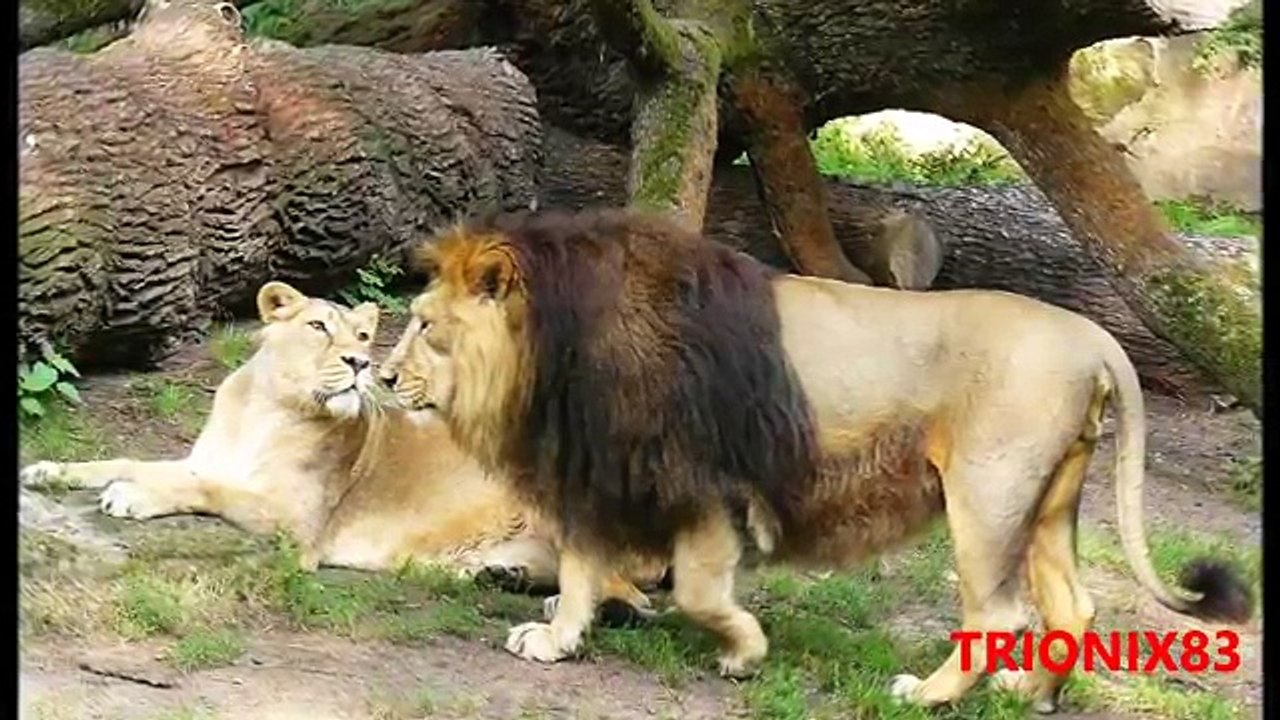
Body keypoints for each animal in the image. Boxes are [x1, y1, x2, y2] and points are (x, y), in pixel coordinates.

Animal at [20, 280, 660, 618]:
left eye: (362, 335)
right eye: (318, 328)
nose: (360, 363)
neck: (265, 408)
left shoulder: (297, 525)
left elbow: (204, 487)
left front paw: (130, 498)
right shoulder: (203, 457)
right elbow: (127, 459)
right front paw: (49, 470)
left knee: (632, 591)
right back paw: (496, 575)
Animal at [378, 207, 1253, 713]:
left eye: (423, 325)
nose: (381, 377)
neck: (551, 349)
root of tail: (1091, 334)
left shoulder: (699, 484)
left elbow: (696, 591)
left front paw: (743, 652)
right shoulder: (605, 476)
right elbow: (582, 571)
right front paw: (558, 642)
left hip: (988, 491)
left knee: (999, 614)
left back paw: (925, 695)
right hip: (1047, 501)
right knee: (1073, 610)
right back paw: (1029, 694)